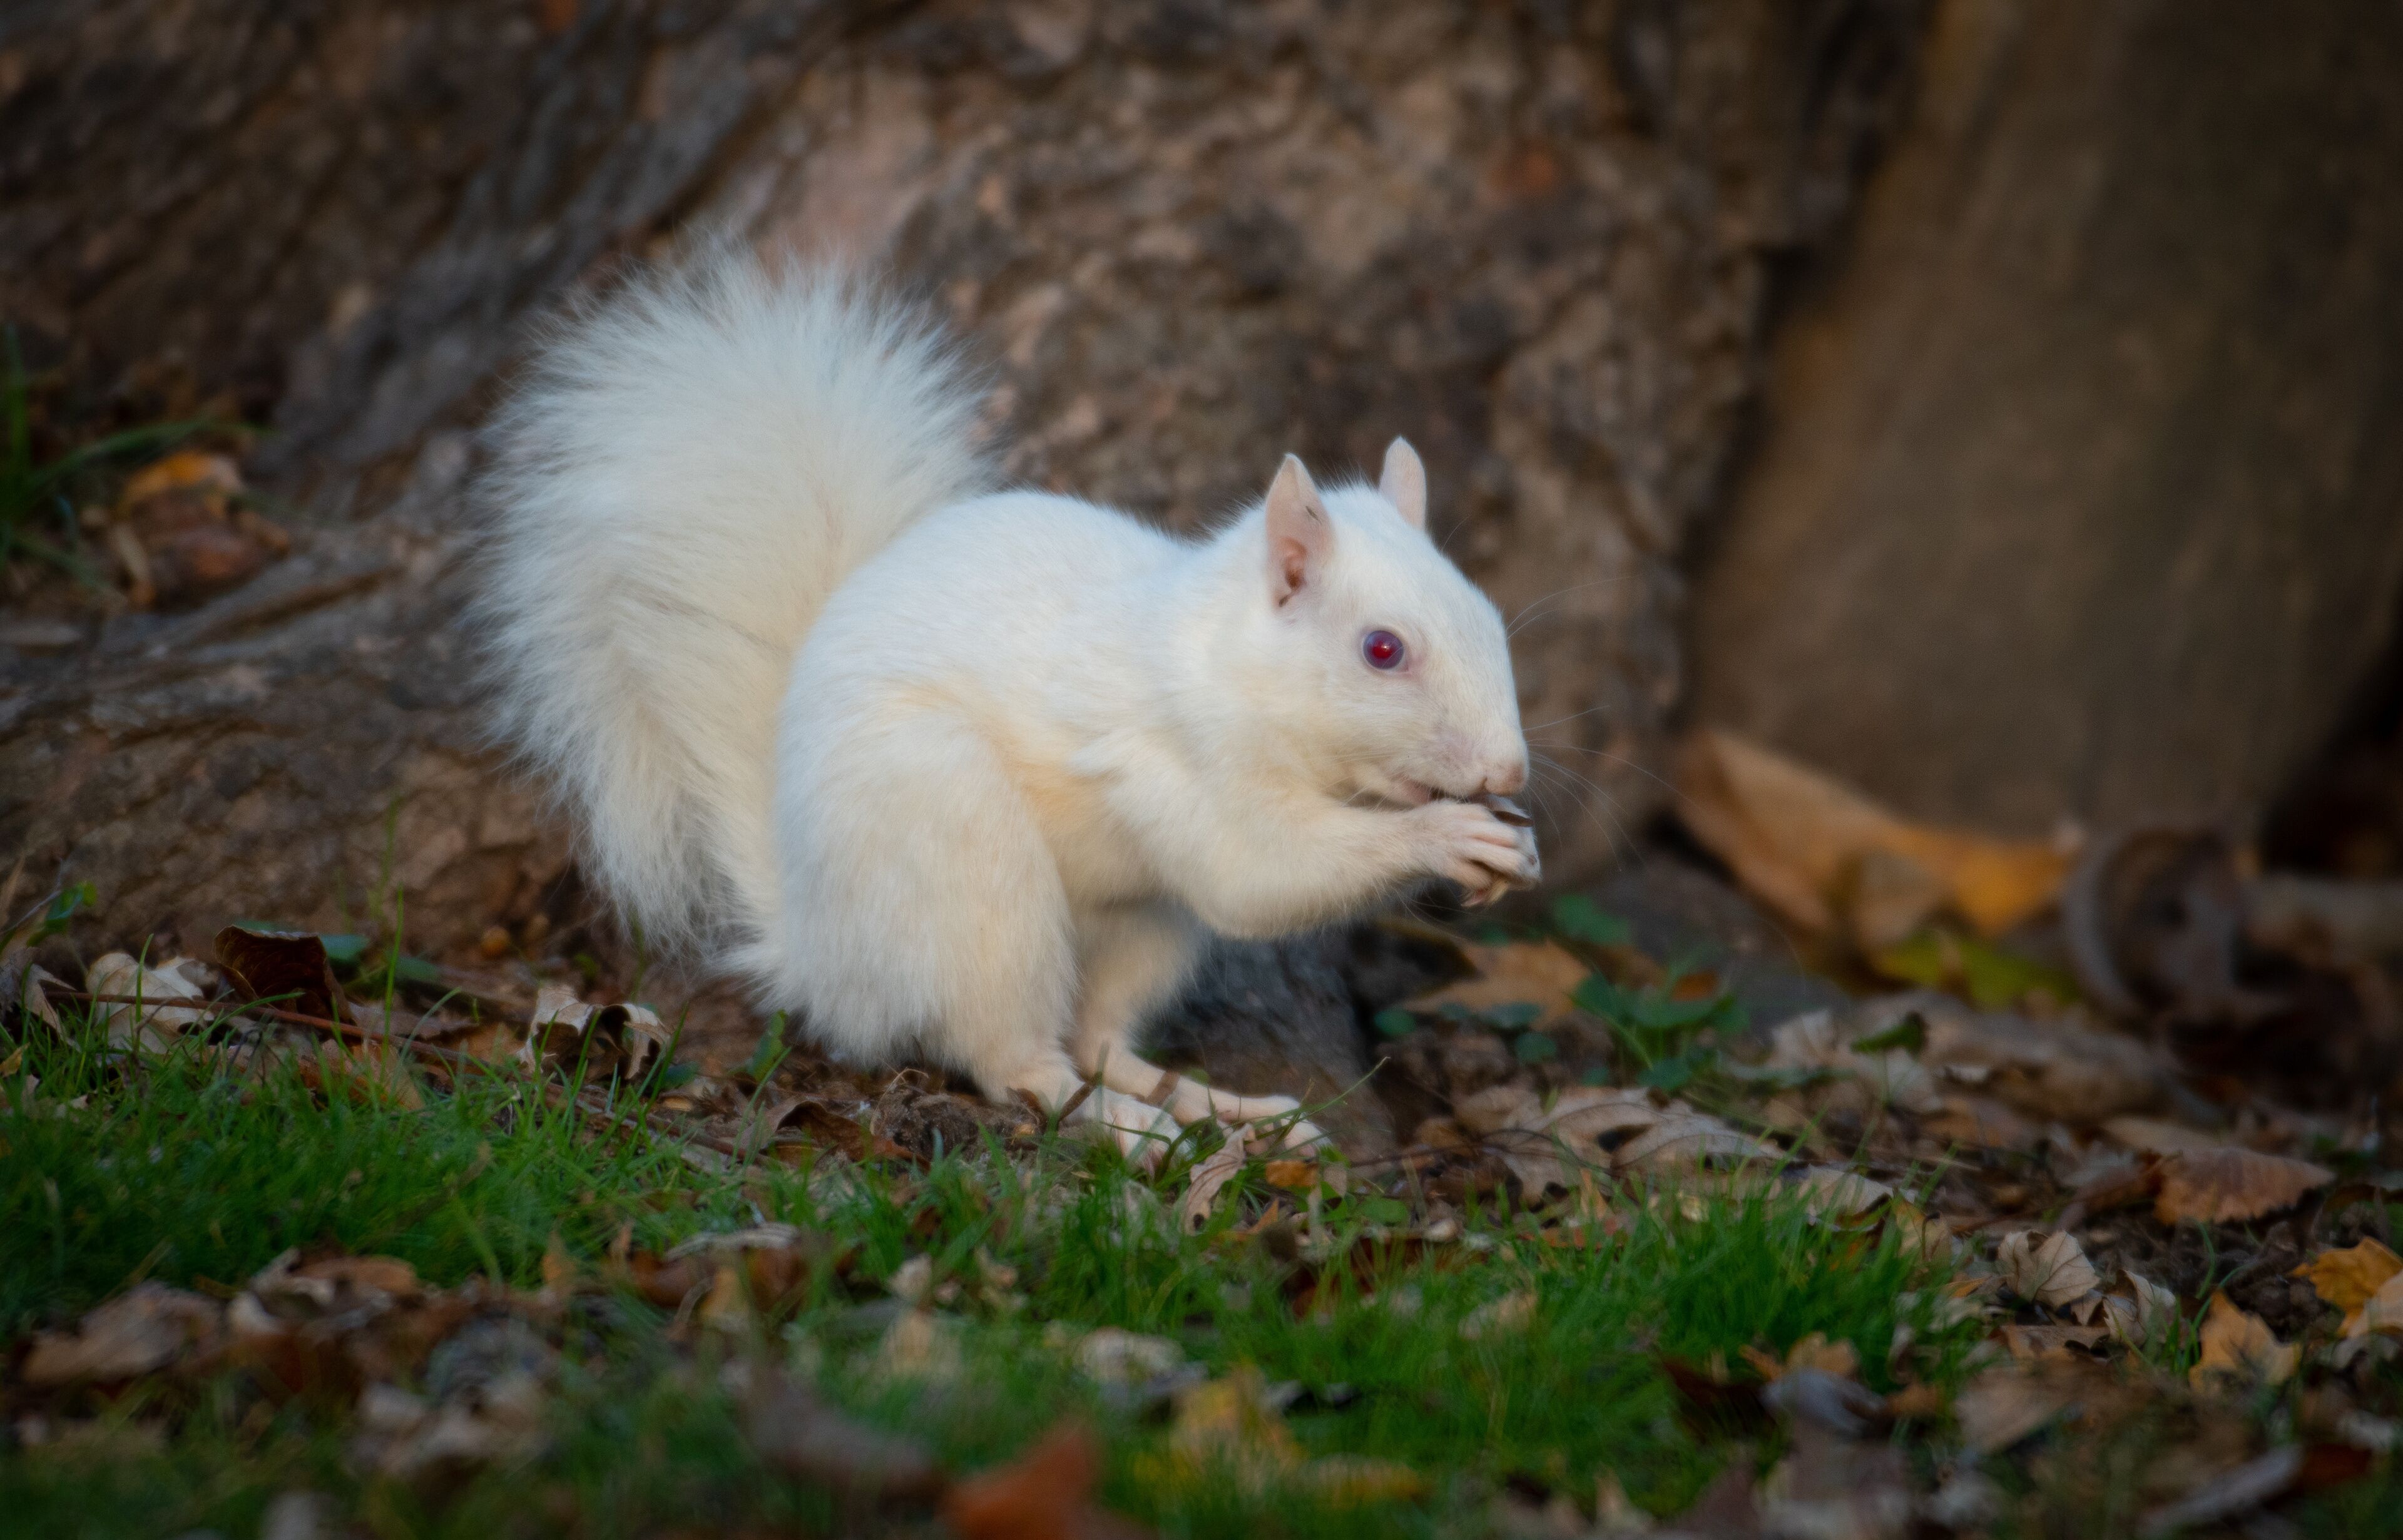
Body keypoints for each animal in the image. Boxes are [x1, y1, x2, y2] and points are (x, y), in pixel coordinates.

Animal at [481, 255, 1538, 1159]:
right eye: (1382, 650)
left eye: (1490, 614)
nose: (1511, 769)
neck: (1225, 665)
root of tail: (822, 955)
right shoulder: (1178, 762)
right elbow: (1256, 876)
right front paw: (1451, 837)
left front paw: (1505, 844)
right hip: (967, 867)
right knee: (1020, 1064)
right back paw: (1134, 1129)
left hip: (1141, 928)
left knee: (1102, 1040)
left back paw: (1219, 1107)